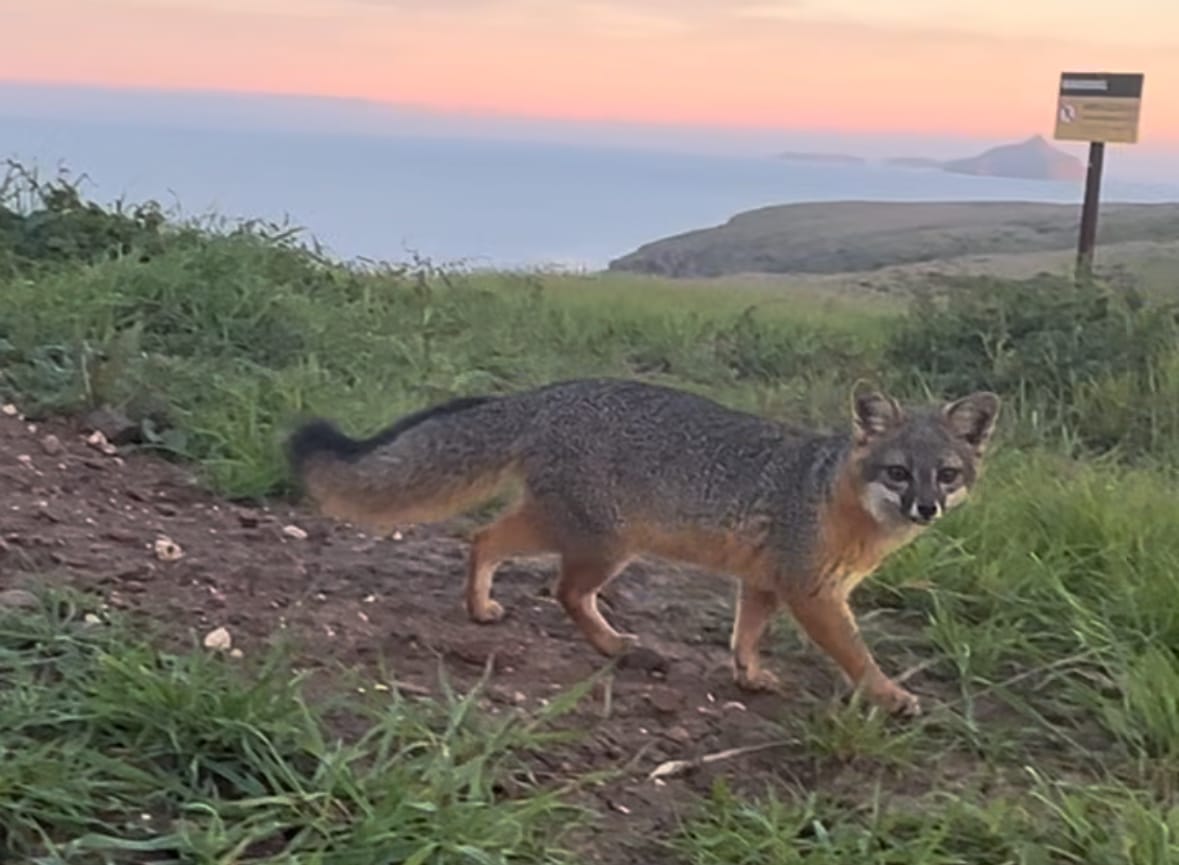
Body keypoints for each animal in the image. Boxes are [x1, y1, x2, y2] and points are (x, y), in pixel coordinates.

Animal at [285, 379, 995, 716]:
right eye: (898, 473)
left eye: (946, 475)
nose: (926, 508)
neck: (834, 496)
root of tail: (548, 393)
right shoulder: (811, 593)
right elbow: (857, 655)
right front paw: (890, 696)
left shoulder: (764, 582)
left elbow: (745, 634)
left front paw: (749, 675)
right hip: (605, 542)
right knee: (552, 581)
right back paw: (611, 645)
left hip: (568, 526)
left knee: (490, 539)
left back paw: (486, 610)